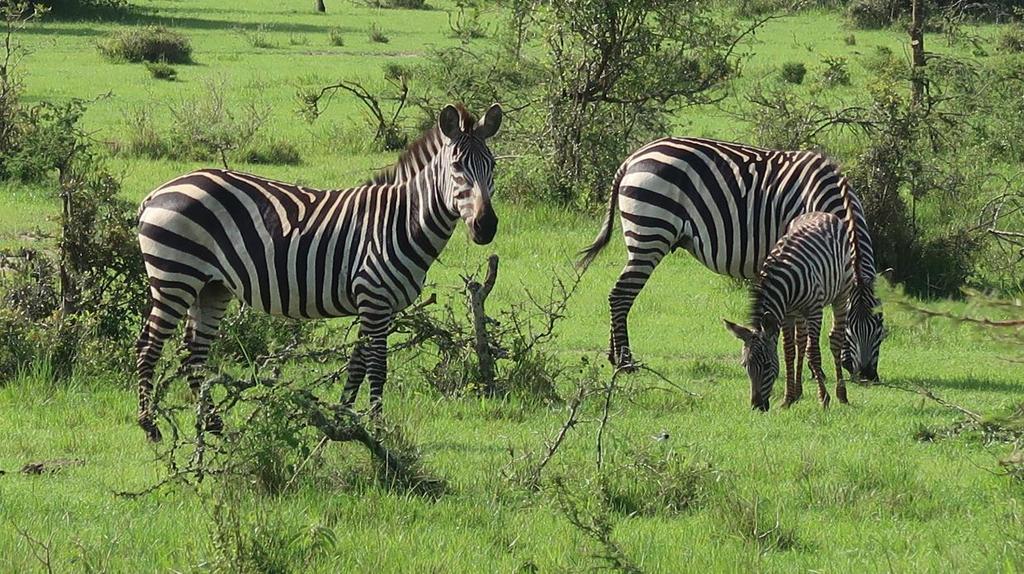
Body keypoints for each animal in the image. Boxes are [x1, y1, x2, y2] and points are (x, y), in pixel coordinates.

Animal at [136, 103, 503, 444]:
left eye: (493, 165)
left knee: (194, 353)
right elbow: (377, 368)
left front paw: (344, 421)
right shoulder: (375, 298)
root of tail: (158, 192)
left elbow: (356, 367)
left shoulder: (373, 305)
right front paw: (379, 431)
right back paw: (150, 427)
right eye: (456, 166)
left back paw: (212, 424)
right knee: (148, 345)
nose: (486, 227)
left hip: (211, 287)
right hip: (175, 278)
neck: (401, 220)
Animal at [581, 136, 884, 380]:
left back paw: (614, 356)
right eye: (854, 330)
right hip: (651, 231)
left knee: (618, 294)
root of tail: (633, 158)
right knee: (621, 295)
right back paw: (626, 362)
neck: (822, 200)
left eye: (881, 328)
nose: (868, 376)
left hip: (643, 236)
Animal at [720, 212, 864, 409]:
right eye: (744, 365)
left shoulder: (814, 310)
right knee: (801, 342)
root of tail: (823, 213)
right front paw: (788, 398)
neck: (783, 282)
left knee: (835, 338)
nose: (757, 406)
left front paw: (824, 398)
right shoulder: (786, 314)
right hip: (798, 313)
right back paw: (798, 393)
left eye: (767, 365)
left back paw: (841, 394)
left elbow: (814, 352)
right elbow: (789, 351)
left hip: (842, 293)